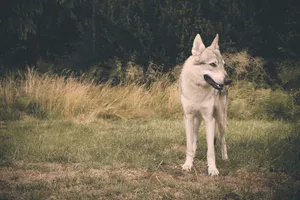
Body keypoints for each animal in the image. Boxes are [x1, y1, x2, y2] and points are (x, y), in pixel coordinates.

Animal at [179, 33, 231, 176]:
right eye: (213, 64)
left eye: (223, 65)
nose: (228, 80)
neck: (198, 90)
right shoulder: (188, 117)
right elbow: (189, 145)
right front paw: (188, 165)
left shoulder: (209, 119)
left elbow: (211, 150)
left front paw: (213, 169)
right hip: (196, 121)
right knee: (194, 139)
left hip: (220, 120)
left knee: (222, 140)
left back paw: (225, 158)